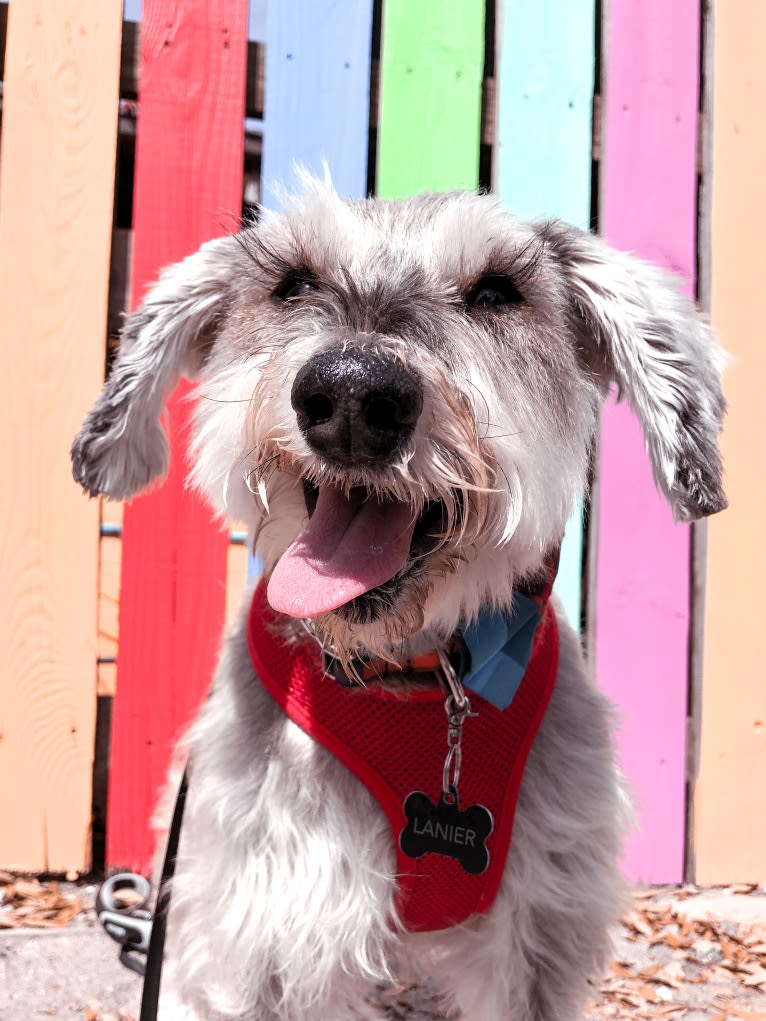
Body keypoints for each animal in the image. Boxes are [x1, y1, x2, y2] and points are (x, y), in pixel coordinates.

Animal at [70, 177, 727, 1021]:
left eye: (496, 292)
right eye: (294, 283)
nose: (352, 393)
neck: (416, 674)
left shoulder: (540, 925)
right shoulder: (265, 919)